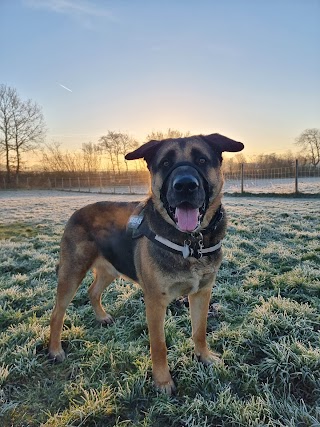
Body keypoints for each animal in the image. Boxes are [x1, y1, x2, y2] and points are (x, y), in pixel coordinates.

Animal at [47, 133, 244, 394]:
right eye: (165, 163)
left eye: (202, 160)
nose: (185, 185)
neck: (191, 241)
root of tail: (77, 212)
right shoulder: (155, 301)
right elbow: (158, 345)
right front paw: (162, 382)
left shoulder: (202, 292)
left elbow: (199, 330)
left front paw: (204, 357)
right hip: (72, 273)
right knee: (57, 313)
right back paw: (54, 350)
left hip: (110, 269)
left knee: (93, 291)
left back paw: (102, 317)